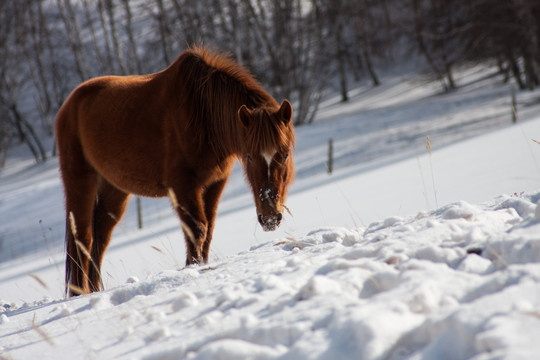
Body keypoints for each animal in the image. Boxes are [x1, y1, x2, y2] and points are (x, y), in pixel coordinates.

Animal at [56, 46, 296, 296]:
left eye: (284, 154)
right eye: (249, 156)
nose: (270, 217)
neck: (202, 116)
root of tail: (68, 106)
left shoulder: (214, 183)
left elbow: (208, 229)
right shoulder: (182, 186)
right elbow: (197, 228)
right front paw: (193, 267)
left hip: (114, 190)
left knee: (101, 238)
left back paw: (94, 290)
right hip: (80, 182)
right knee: (83, 238)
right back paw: (79, 293)